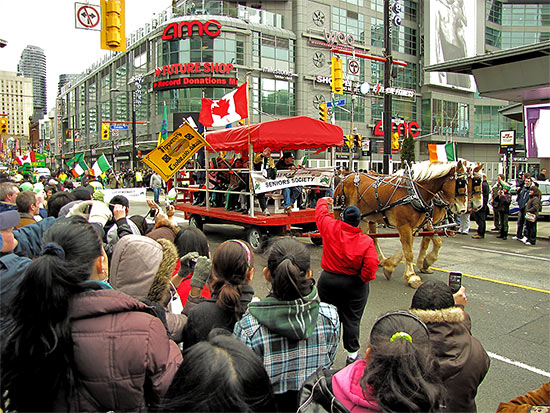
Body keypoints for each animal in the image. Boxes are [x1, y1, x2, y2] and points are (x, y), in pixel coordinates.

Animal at [334, 160, 468, 286]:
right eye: (460, 183)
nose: (463, 209)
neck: (414, 192)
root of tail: (345, 179)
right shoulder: (405, 225)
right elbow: (409, 252)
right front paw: (412, 277)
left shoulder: (417, 226)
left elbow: (416, 246)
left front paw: (392, 265)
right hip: (340, 211)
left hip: (364, 218)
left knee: (368, 237)